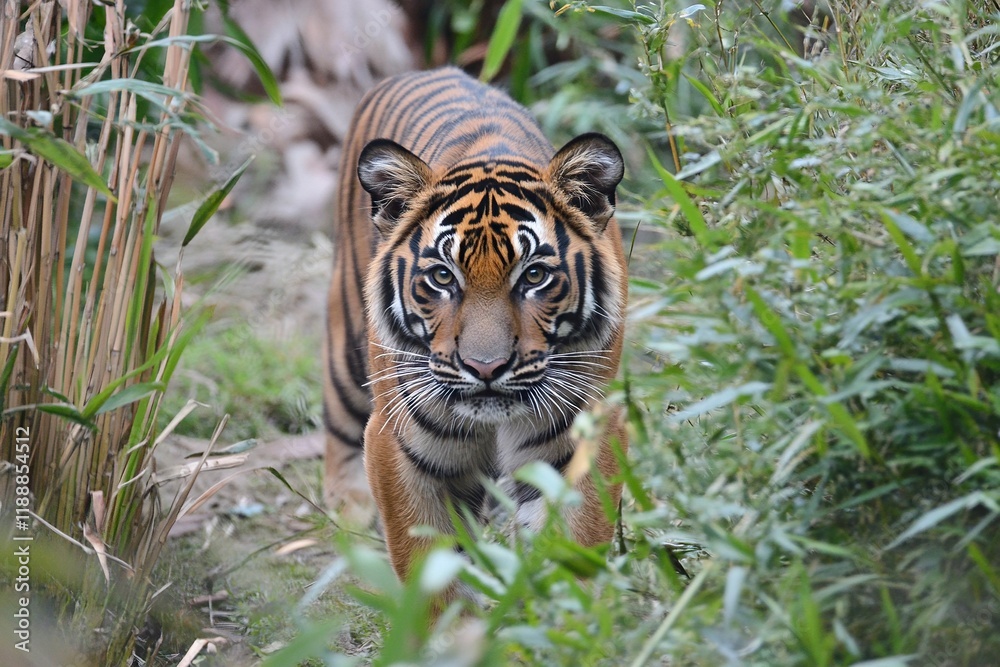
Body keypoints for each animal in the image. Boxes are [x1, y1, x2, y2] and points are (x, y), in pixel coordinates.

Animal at [323, 66, 629, 581]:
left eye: (534, 276)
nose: (486, 368)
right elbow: (430, 571)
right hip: (346, 347)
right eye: (443, 277)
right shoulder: (402, 445)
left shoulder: (583, 434)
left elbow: (571, 549)